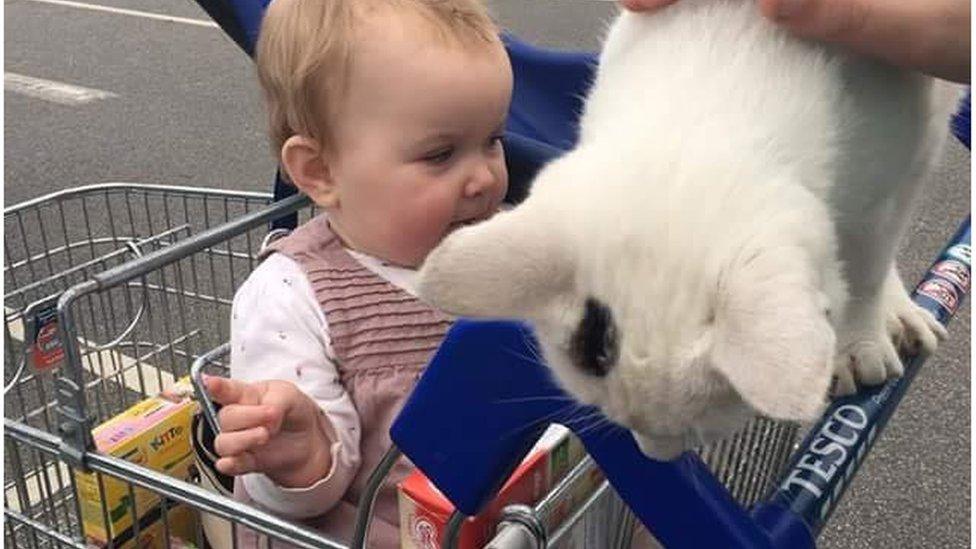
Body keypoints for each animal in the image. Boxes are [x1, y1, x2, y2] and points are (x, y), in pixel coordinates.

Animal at [416, 1, 956, 458]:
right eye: (610, 415)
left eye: (702, 429)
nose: (655, 456)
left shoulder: (908, 133)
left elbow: (869, 258)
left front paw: (860, 339)